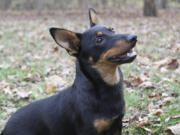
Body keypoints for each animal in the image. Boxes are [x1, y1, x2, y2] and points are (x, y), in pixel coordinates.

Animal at [1, 8, 136, 135]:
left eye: (112, 29)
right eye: (99, 40)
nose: (134, 37)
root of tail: (4, 129)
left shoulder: (117, 125)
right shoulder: (88, 130)